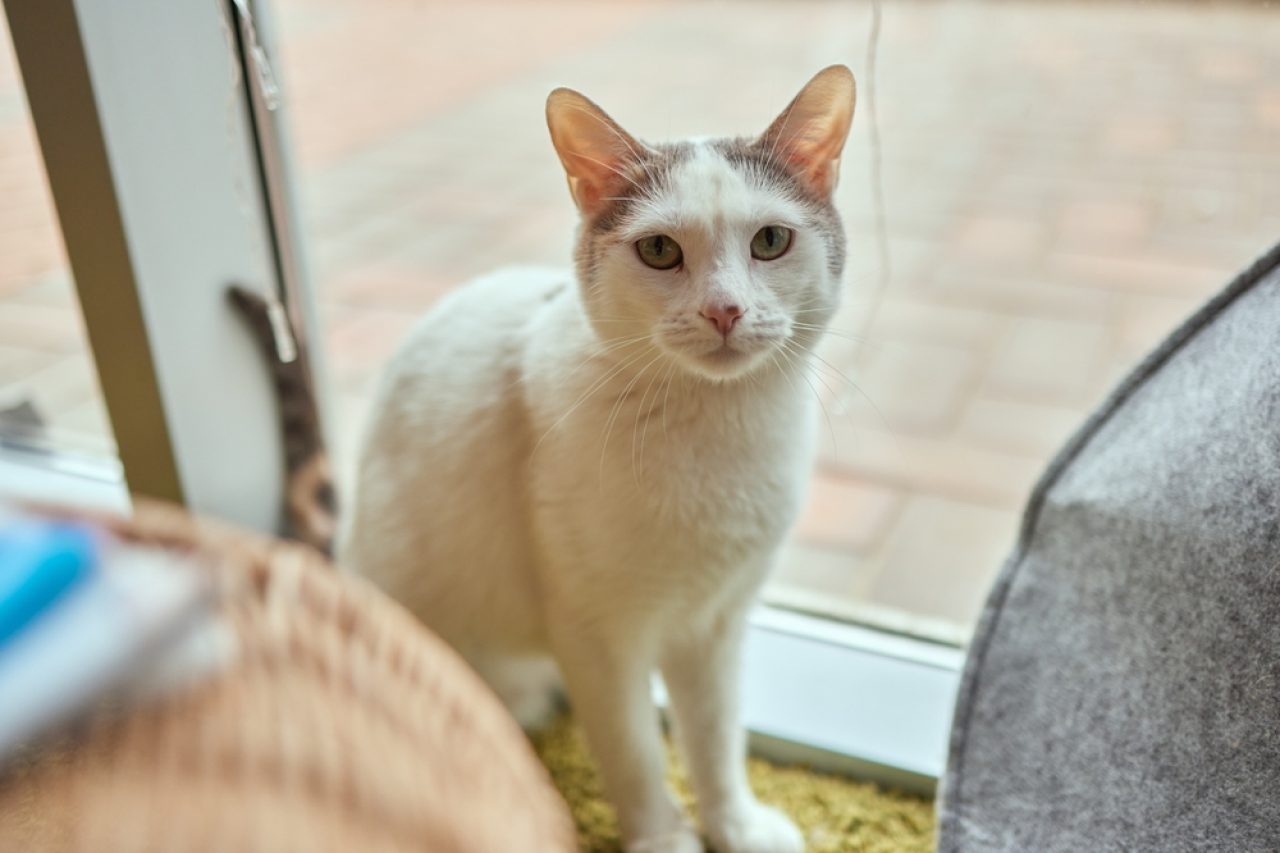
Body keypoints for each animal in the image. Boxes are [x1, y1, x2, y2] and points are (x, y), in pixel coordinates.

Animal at [345, 68, 855, 850]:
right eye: (660, 252)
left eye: (771, 240)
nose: (725, 310)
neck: (715, 432)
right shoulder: (594, 636)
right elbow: (633, 749)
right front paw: (662, 838)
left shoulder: (714, 626)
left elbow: (716, 737)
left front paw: (733, 825)